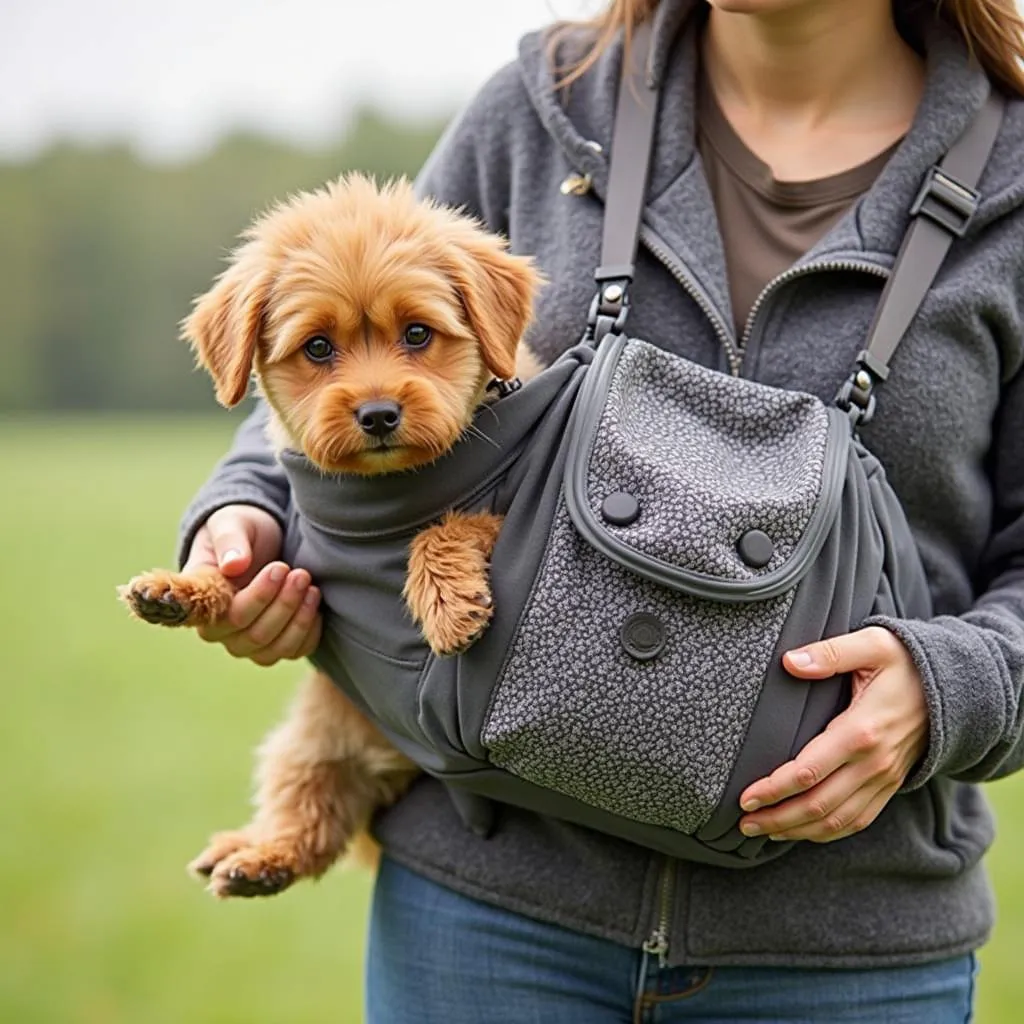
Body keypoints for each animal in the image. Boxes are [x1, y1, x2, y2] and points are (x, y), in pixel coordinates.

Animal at [119, 176, 544, 897]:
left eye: (418, 333)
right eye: (317, 347)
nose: (378, 415)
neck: (383, 490)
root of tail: (390, 764)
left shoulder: (523, 512)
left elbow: (454, 523)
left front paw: (447, 604)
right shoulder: (289, 554)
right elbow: (236, 568)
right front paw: (180, 587)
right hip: (310, 735)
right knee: (311, 814)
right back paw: (254, 855)